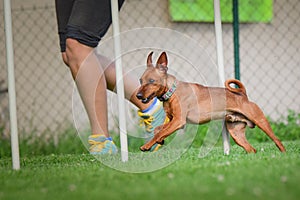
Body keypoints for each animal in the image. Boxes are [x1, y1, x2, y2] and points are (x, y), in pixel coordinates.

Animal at [136, 51, 286, 153]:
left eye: (151, 81)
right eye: (140, 80)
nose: (138, 95)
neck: (172, 92)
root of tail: (243, 95)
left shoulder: (179, 121)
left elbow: (161, 132)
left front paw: (147, 145)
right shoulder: (173, 120)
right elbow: (158, 130)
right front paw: (158, 140)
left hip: (260, 121)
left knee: (277, 141)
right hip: (236, 133)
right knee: (251, 149)